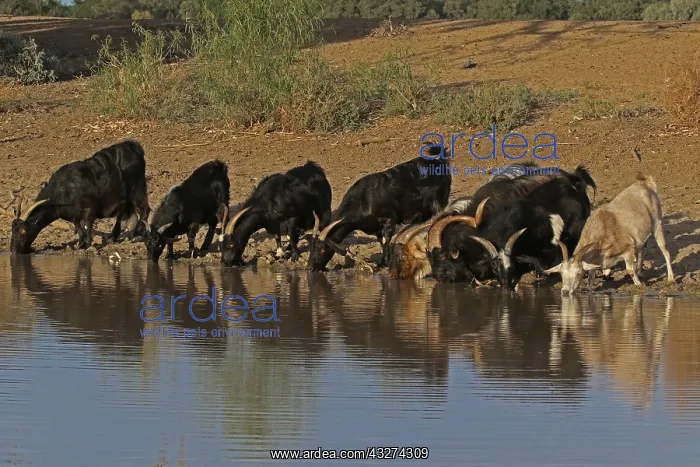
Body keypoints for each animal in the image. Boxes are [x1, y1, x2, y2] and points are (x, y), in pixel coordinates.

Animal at [6, 140, 150, 254]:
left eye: (23, 231)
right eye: (12, 230)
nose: (13, 250)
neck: (64, 190)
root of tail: (135, 147)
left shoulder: (89, 207)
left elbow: (87, 225)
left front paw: (86, 244)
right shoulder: (73, 213)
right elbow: (78, 227)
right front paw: (80, 243)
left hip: (137, 188)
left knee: (144, 209)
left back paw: (136, 235)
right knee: (125, 213)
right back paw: (114, 236)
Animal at [308, 150, 451, 271]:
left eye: (322, 249)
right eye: (312, 247)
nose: (310, 267)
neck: (363, 201)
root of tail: (440, 161)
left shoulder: (389, 220)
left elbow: (386, 240)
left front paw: (386, 263)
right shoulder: (376, 226)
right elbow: (381, 241)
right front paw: (381, 262)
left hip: (438, 202)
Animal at [544, 173, 675, 294]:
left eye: (578, 274)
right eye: (561, 274)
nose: (565, 291)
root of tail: (646, 184)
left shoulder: (628, 249)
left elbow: (629, 270)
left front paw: (639, 285)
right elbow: (590, 279)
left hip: (657, 224)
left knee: (666, 251)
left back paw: (671, 279)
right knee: (642, 248)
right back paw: (640, 272)